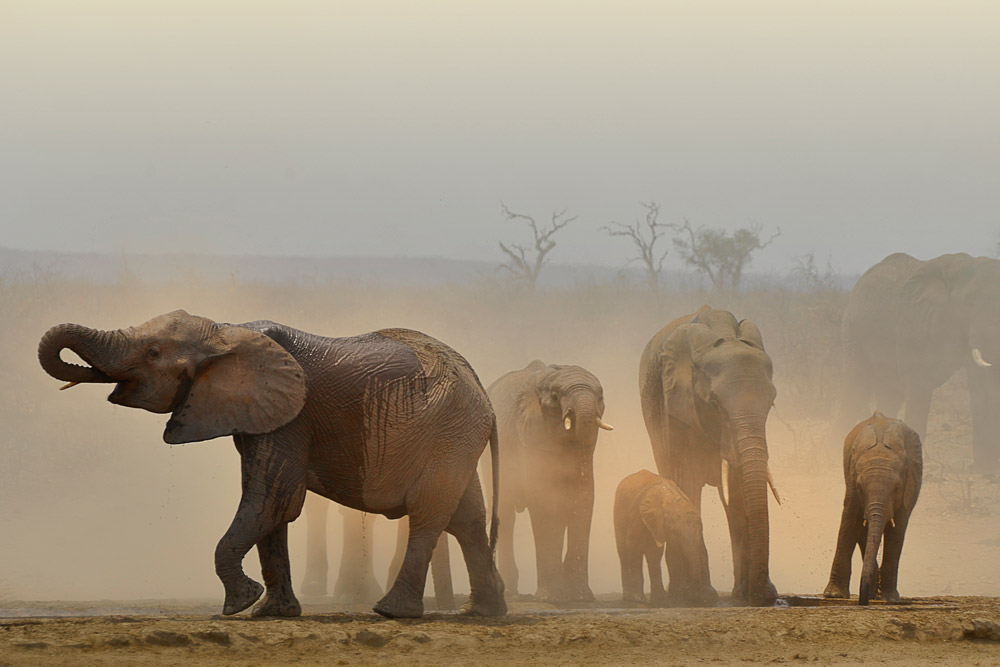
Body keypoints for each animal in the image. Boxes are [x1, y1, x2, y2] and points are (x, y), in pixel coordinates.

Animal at [37, 314, 508, 620]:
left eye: (153, 352)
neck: (225, 331)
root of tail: (482, 391)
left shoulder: (292, 416)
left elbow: (272, 500)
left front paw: (240, 604)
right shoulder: (259, 414)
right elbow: (272, 509)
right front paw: (272, 612)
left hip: (448, 431)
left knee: (429, 514)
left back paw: (393, 612)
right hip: (455, 437)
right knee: (466, 518)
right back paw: (483, 612)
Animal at [482, 362, 612, 604]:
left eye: (600, 396)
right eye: (555, 396)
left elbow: (583, 498)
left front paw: (580, 598)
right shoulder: (533, 434)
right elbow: (546, 500)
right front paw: (551, 598)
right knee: (505, 513)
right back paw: (511, 593)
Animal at [640, 306, 780, 608]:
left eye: (771, 403)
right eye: (714, 404)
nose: (764, 597)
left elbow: (738, 492)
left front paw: (750, 594)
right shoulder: (677, 407)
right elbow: (688, 482)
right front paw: (699, 595)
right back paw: (679, 593)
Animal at [820, 412, 920, 604]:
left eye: (897, 488)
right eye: (860, 487)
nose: (862, 601)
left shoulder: (909, 485)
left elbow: (897, 531)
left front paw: (890, 598)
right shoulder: (852, 478)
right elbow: (850, 520)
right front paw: (834, 595)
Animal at [840, 253, 1000, 472]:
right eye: (969, 301)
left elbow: (980, 385)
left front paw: (983, 470)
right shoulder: (913, 324)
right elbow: (919, 386)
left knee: (891, 394)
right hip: (853, 331)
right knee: (857, 389)